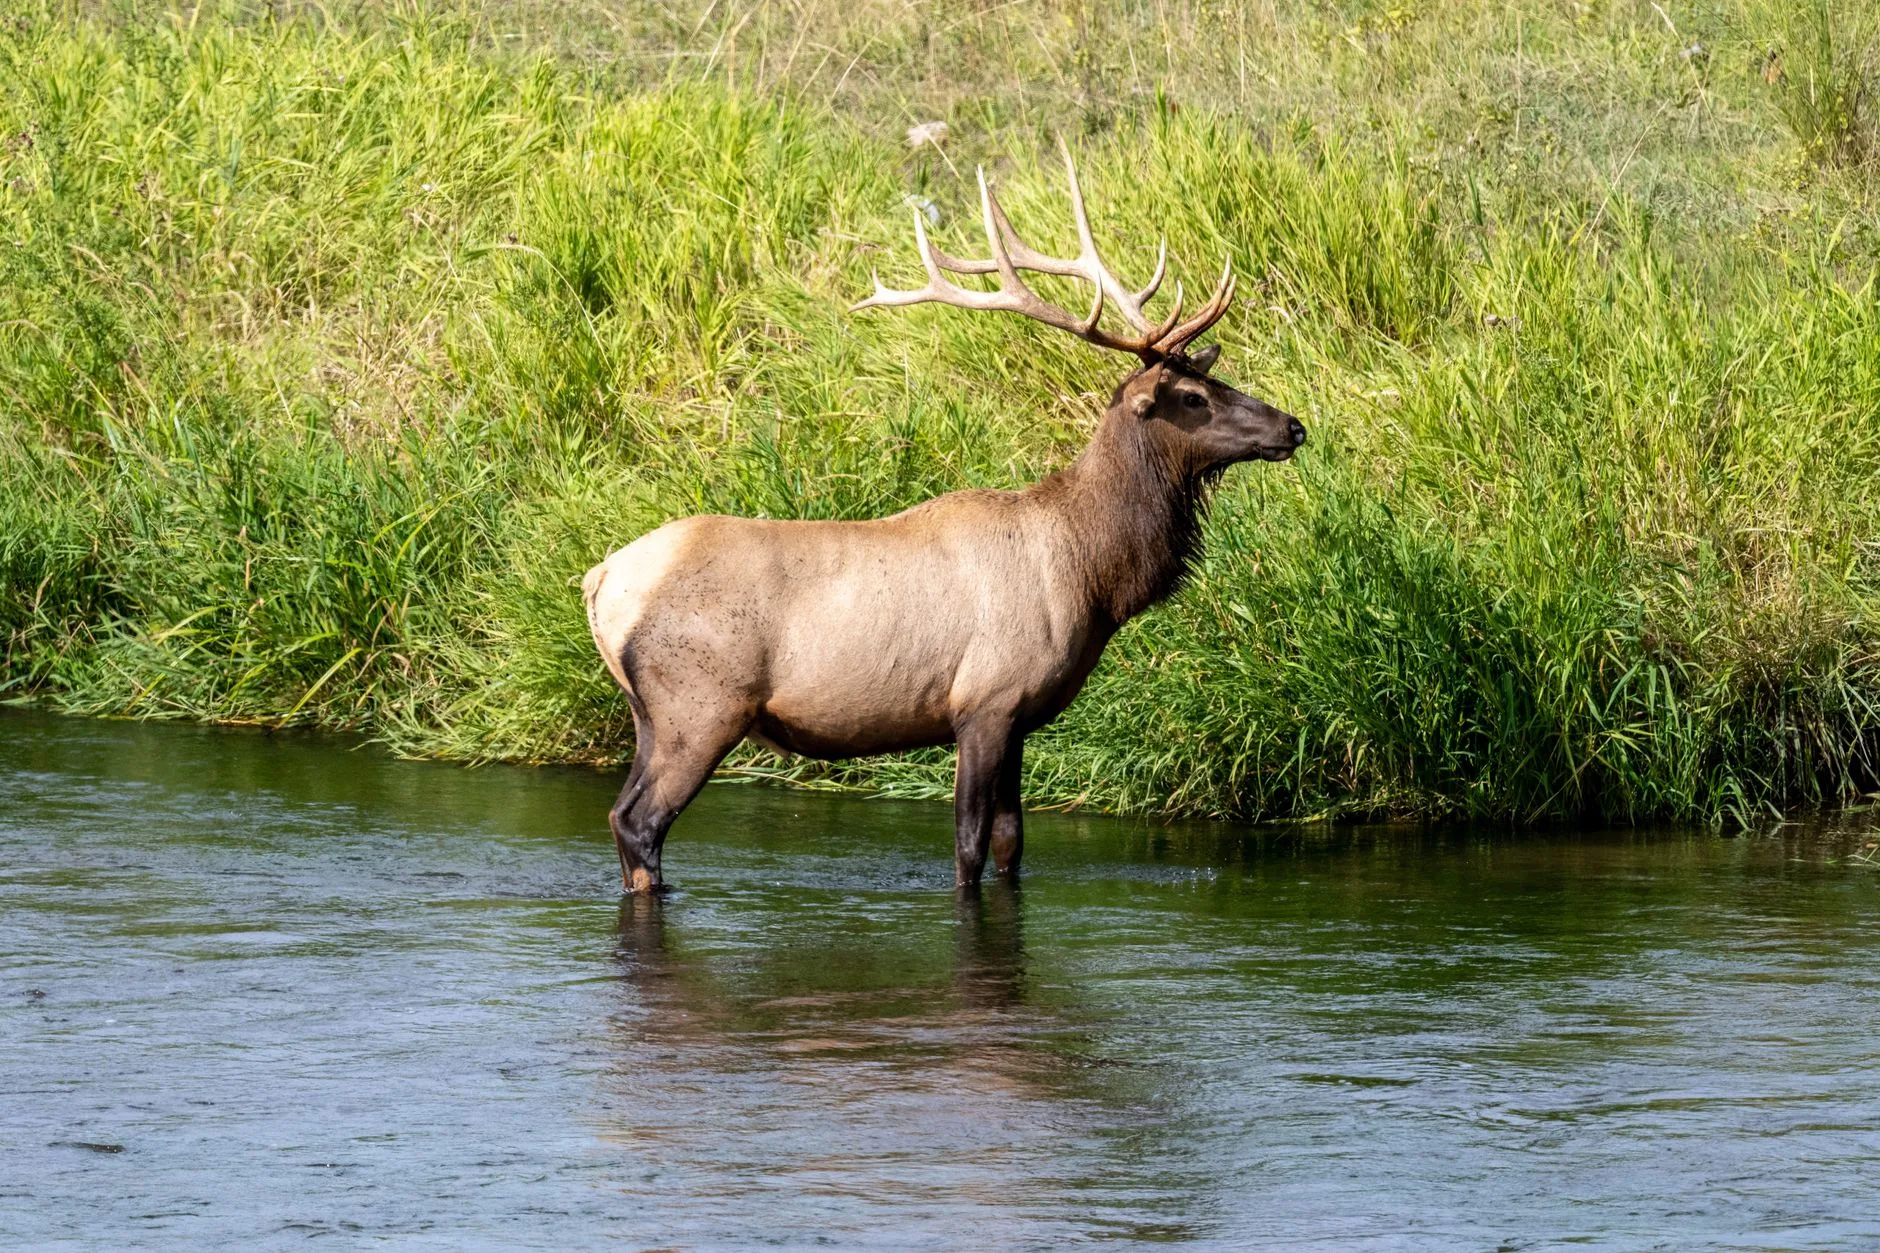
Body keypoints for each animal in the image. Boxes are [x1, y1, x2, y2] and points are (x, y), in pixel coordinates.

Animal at [584, 143, 1306, 894]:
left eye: (1215, 378)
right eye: (1193, 396)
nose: (1293, 426)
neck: (1093, 573)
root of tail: (599, 581)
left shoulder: (1020, 719)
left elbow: (1013, 845)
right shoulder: (985, 701)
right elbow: (969, 849)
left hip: (649, 716)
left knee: (622, 817)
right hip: (698, 706)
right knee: (639, 822)